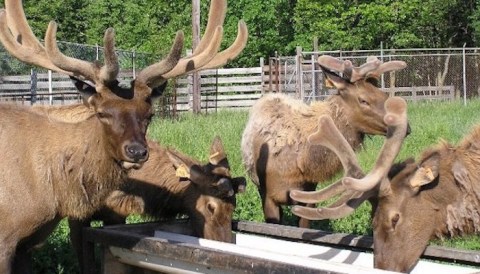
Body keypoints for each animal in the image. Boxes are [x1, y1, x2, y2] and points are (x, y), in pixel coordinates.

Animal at [242, 54, 406, 228]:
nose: (406, 125)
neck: (300, 164)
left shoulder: (309, 193)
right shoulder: (269, 196)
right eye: (363, 100)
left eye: (384, 95)